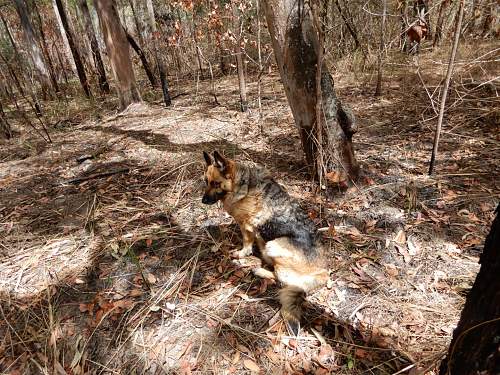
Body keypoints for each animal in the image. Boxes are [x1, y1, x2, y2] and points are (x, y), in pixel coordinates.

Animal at [201, 151, 330, 334]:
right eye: (206, 181)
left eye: (216, 183)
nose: (203, 201)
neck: (243, 185)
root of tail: (322, 272)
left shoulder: (247, 226)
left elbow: (246, 242)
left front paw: (242, 254)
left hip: (274, 245)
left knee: (281, 279)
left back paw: (260, 271)